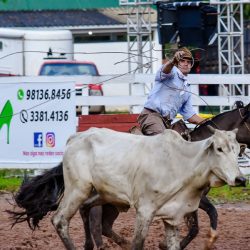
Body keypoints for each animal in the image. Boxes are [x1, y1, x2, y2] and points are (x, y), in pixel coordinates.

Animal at [52, 127, 244, 250]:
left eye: (236, 151)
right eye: (219, 148)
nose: (240, 179)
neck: (182, 162)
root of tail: (76, 137)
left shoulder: (173, 216)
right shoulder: (144, 212)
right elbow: (138, 244)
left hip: (102, 194)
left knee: (85, 209)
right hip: (77, 189)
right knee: (59, 220)